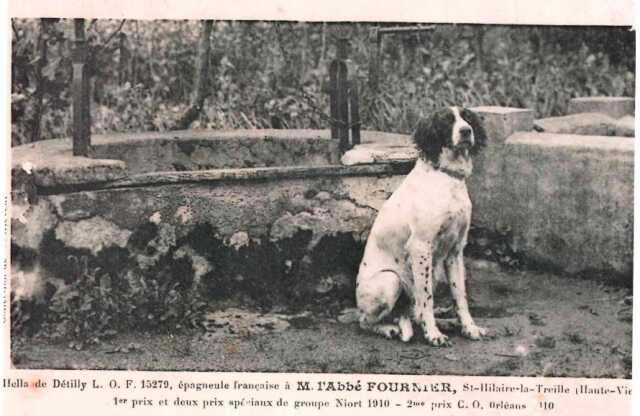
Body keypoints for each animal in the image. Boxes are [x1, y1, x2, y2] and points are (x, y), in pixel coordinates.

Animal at [358, 106, 488, 344]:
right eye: (447, 121)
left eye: (467, 117)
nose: (466, 131)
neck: (447, 177)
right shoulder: (420, 247)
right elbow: (427, 297)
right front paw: (433, 334)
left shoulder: (456, 250)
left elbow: (460, 295)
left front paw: (469, 328)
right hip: (390, 280)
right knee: (365, 321)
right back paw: (389, 329)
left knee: (414, 312)